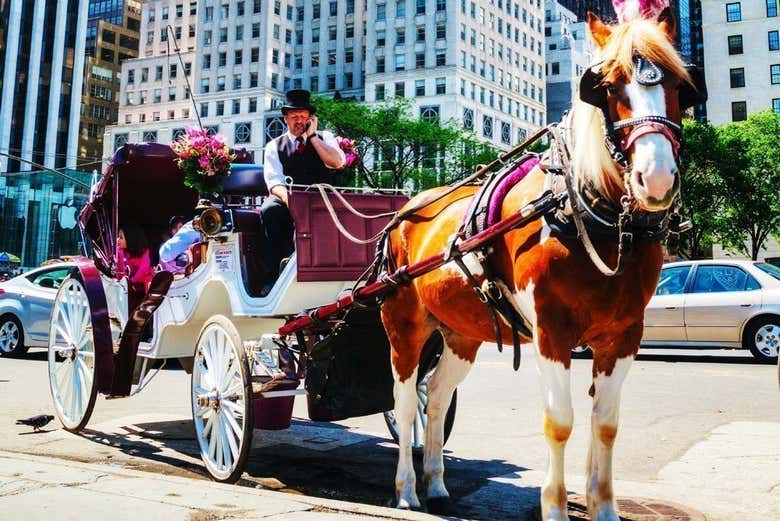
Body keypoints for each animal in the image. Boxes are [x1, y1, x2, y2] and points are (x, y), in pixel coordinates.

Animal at [380, 8, 700, 520]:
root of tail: (405, 211)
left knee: (440, 395)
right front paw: (554, 506)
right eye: (607, 87)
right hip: (404, 325)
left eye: (679, 85)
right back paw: (407, 489)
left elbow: (606, 423)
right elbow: (560, 422)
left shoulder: (624, 334)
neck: (589, 212)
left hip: (461, 333)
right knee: (408, 400)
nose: (655, 178)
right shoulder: (552, 331)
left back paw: (436, 482)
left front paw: (604, 508)